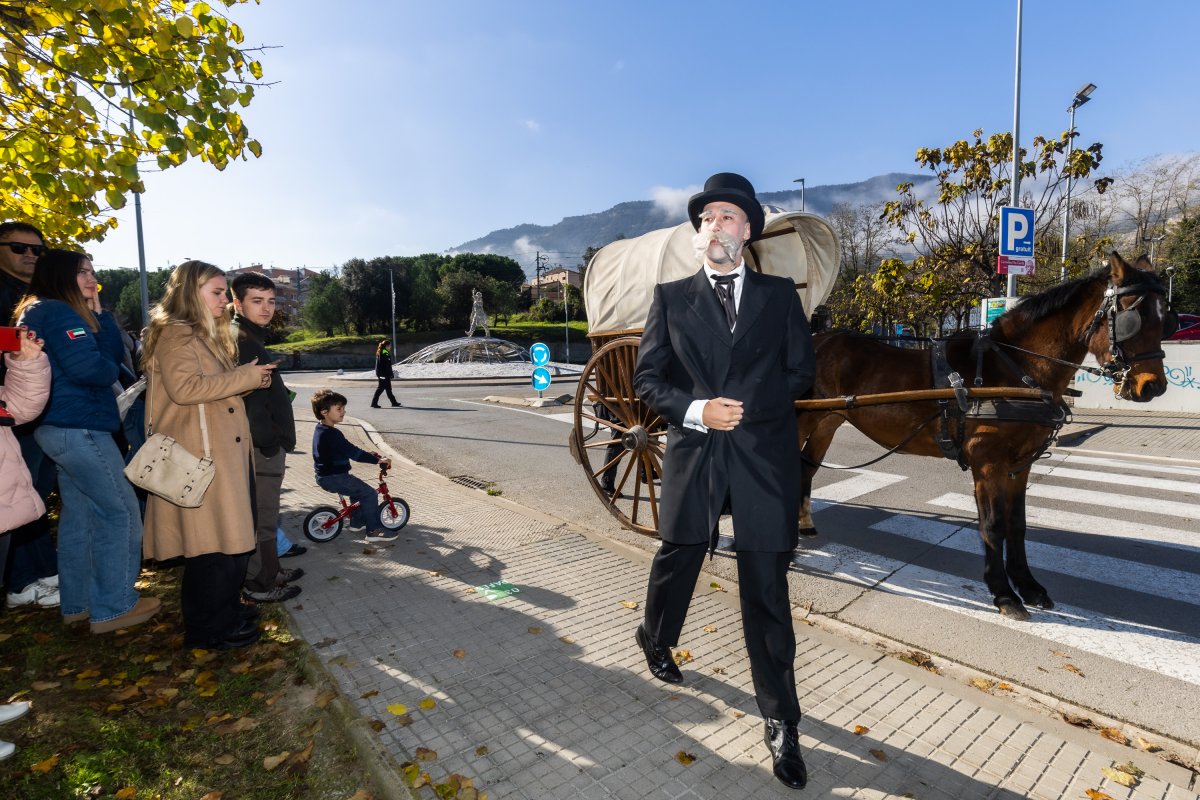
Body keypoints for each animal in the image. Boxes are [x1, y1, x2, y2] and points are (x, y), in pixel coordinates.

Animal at [796, 253, 1171, 623]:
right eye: (1132, 316)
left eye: (1164, 317)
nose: (1153, 387)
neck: (1018, 368)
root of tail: (819, 339)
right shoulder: (988, 462)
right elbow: (993, 525)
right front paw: (1004, 593)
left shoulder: (1020, 464)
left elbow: (1017, 524)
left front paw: (1028, 585)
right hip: (803, 419)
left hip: (828, 421)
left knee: (806, 468)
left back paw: (803, 524)